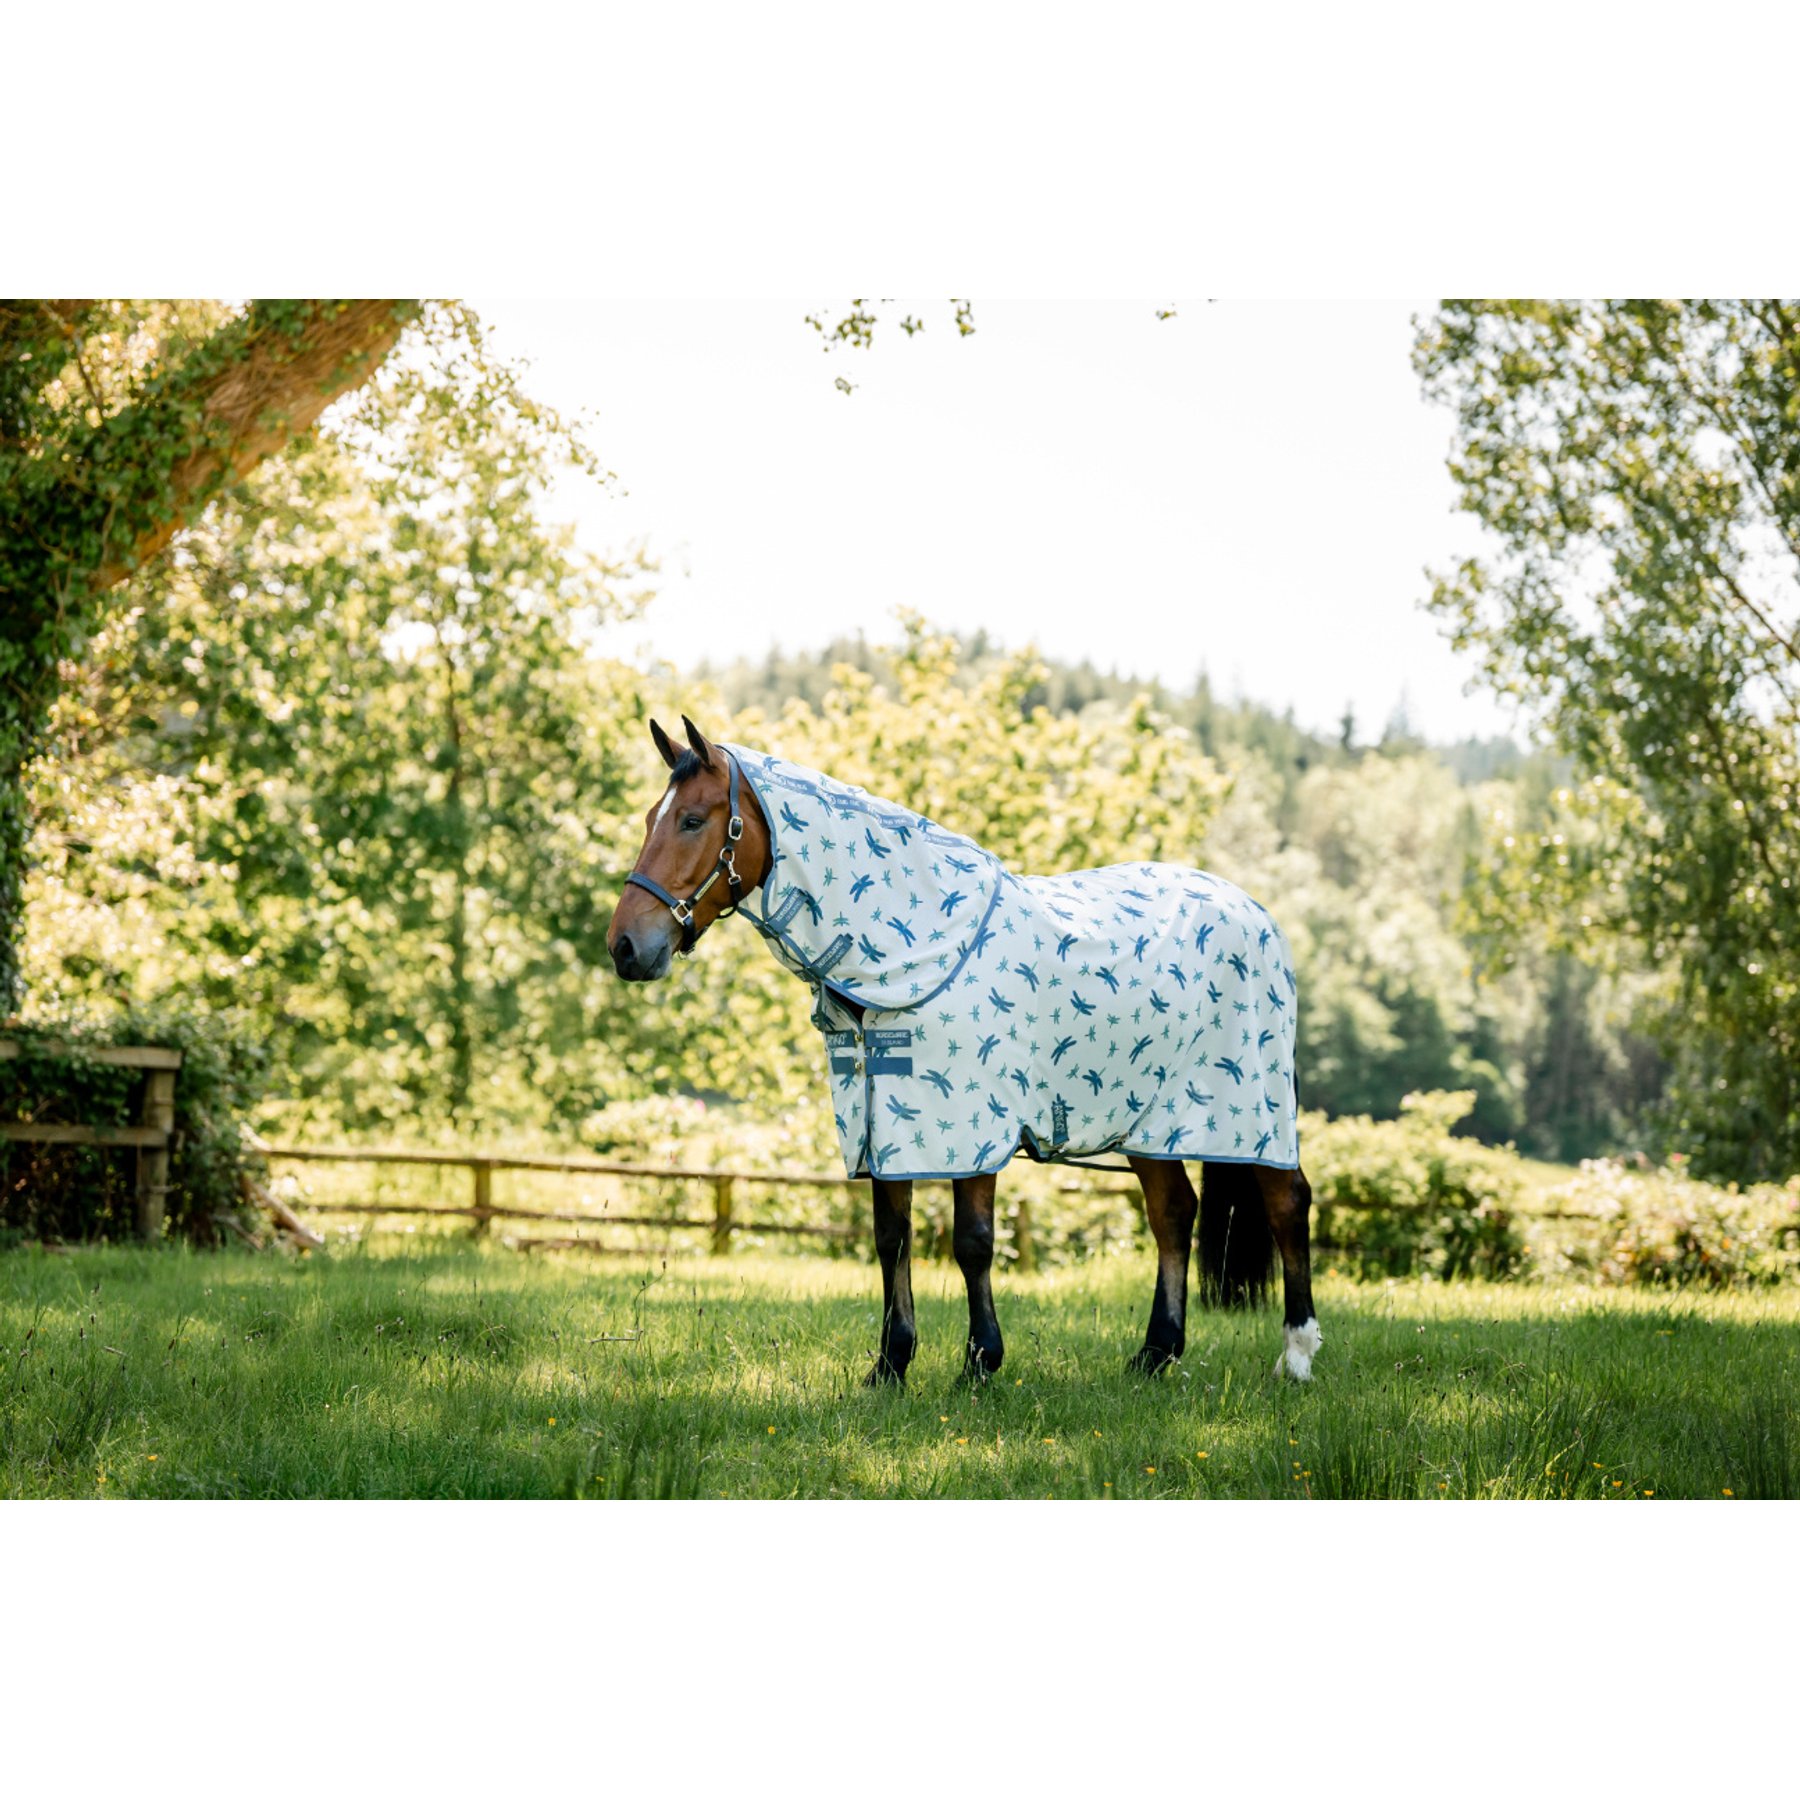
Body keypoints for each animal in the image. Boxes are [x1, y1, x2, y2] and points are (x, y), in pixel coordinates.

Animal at [607, 714, 1322, 1386]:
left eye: (693, 820)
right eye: (649, 820)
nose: (625, 947)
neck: (922, 944)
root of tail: (1255, 912)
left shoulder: (974, 1128)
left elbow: (972, 1241)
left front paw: (980, 1361)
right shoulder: (882, 1120)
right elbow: (890, 1238)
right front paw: (890, 1364)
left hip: (1252, 1113)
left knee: (1287, 1203)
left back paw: (1296, 1355)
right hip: (1151, 1124)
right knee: (1173, 1214)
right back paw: (1155, 1353)